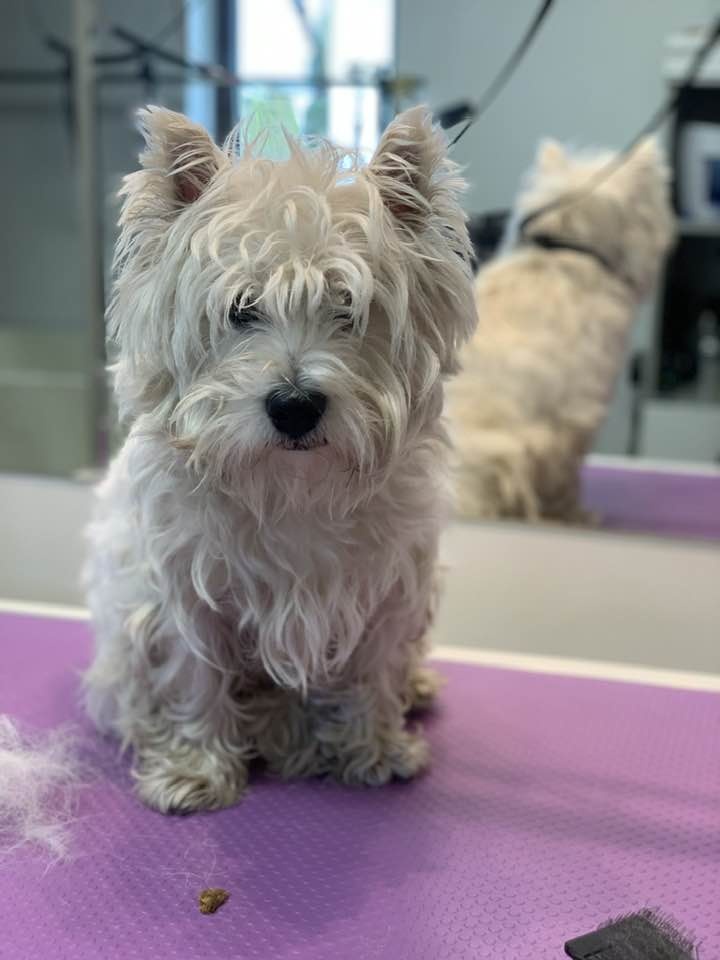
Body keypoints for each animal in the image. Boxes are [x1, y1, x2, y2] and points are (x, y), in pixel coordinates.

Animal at [83, 105, 477, 813]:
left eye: (349, 308)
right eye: (241, 309)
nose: (295, 406)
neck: (291, 486)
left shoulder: (389, 586)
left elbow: (375, 667)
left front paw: (374, 749)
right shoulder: (183, 589)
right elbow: (194, 673)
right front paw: (197, 769)